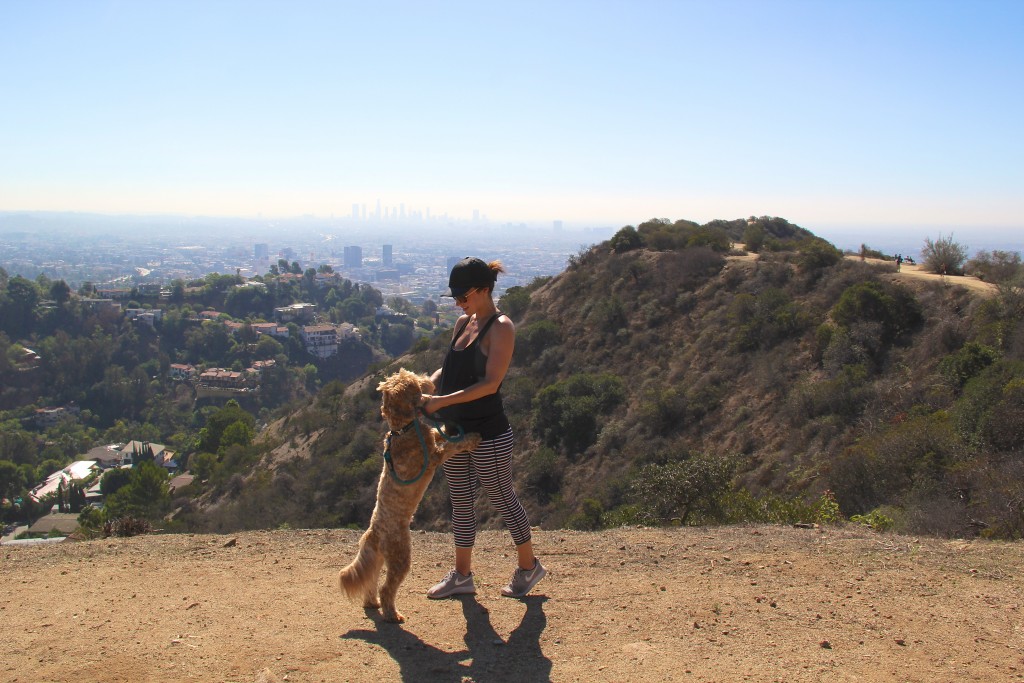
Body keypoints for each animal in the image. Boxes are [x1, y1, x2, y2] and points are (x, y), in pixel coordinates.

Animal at [335, 370, 479, 622]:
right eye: (414, 380)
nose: (429, 379)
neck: (402, 429)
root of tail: (373, 534)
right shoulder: (433, 457)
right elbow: (452, 445)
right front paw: (470, 437)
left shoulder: (430, 438)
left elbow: (437, 432)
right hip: (400, 557)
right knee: (386, 588)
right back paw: (392, 614)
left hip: (377, 560)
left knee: (371, 583)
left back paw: (372, 602)